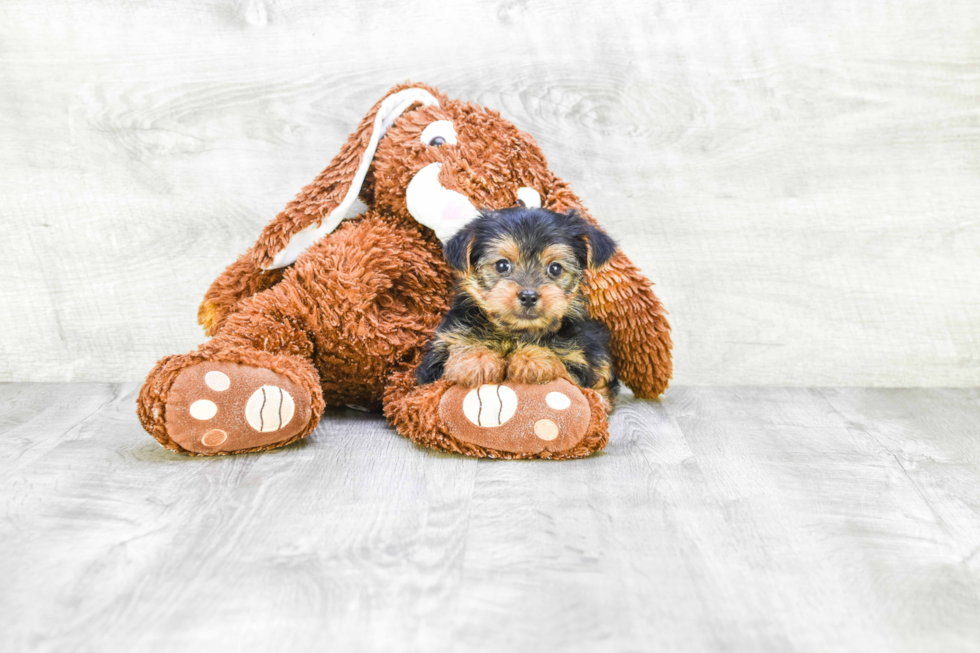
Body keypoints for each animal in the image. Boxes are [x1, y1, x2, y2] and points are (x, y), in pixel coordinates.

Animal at [416, 206, 620, 410]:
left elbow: (566, 371)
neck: (514, 332)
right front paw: (476, 357)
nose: (528, 296)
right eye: (502, 265)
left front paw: (533, 357)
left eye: (555, 268)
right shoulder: (431, 366)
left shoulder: (576, 360)